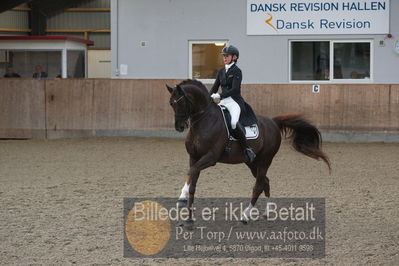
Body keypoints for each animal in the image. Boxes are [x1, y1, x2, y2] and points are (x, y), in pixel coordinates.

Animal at [166, 79, 332, 227]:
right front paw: (189, 219)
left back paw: (245, 217)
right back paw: (267, 212)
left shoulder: (210, 158)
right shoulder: (194, 157)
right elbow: (192, 183)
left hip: (265, 160)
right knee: (265, 181)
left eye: (180, 102)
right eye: (171, 104)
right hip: (252, 162)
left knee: (258, 185)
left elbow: (191, 172)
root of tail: (273, 122)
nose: (179, 126)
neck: (204, 120)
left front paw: (181, 198)